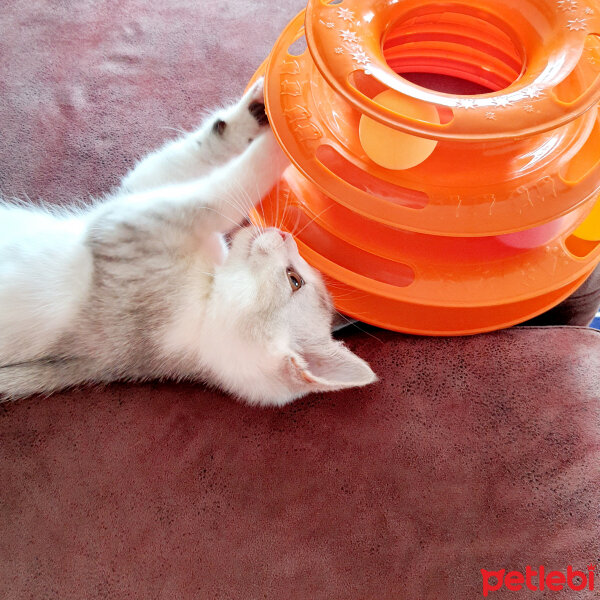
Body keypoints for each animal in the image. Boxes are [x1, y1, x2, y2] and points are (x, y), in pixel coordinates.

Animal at [0, 77, 376, 406]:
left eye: (294, 280)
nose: (286, 235)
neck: (204, 295)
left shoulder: (129, 227)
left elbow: (227, 189)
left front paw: (293, 135)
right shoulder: (142, 191)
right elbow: (188, 160)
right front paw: (257, 112)